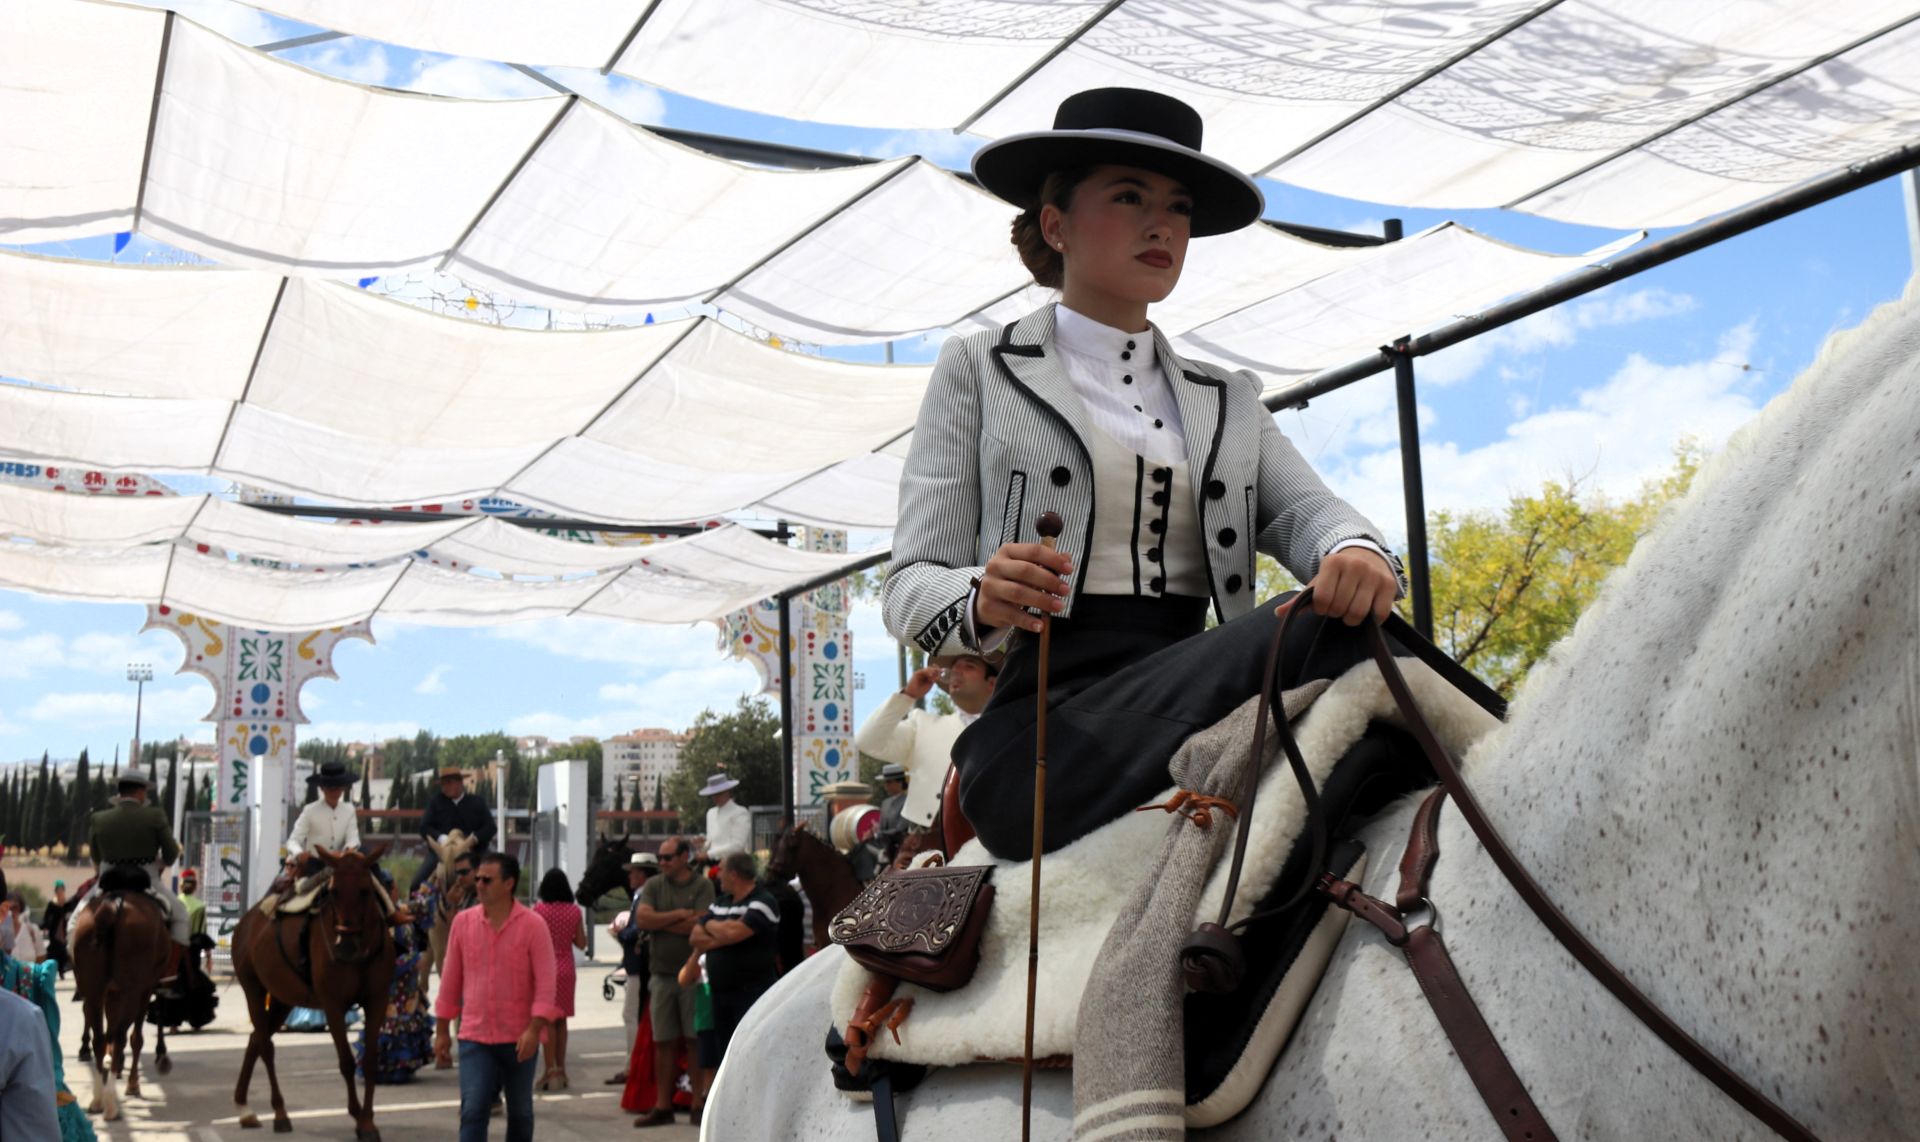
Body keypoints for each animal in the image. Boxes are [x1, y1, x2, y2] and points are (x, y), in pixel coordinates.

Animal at [69, 875, 172, 1128]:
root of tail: (114, 904)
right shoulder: (143, 990)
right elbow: (135, 1039)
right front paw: (132, 1084)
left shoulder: (110, 993)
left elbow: (108, 1034)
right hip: (132, 990)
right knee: (120, 1035)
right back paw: (111, 1104)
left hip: (94, 990)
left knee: (99, 1036)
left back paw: (98, 1098)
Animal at [230, 844, 395, 1136]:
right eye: (333, 890)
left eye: (365, 890)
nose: (345, 946)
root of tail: (247, 921)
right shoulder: (333, 1004)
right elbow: (346, 1061)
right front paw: (357, 1114)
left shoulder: (377, 1000)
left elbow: (370, 1062)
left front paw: (367, 1120)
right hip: (254, 990)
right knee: (265, 1046)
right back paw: (280, 1113)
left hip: (282, 1000)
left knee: (255, 1040)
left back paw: (245, 1107)